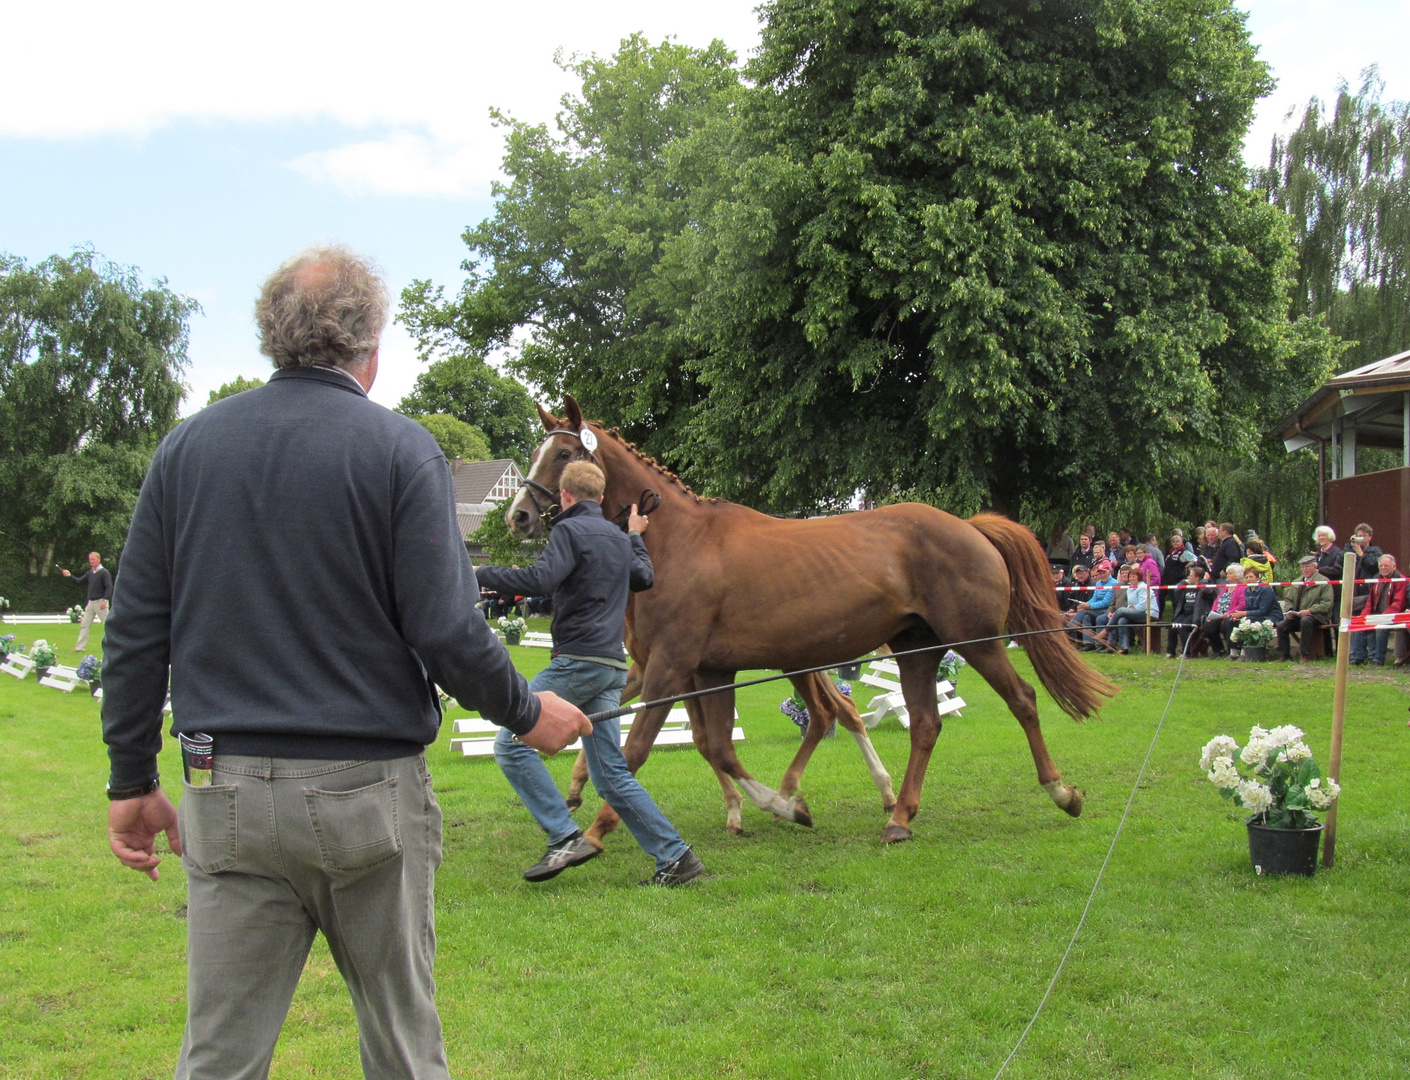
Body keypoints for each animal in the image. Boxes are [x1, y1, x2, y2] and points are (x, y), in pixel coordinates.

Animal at [507, 397, 1111, 845]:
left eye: (565, 453)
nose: (519, 516)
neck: (674, 542)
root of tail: (970, 526)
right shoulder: (705, 672)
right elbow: (714, 745)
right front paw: (781, 807)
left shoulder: (669, 667)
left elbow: (634, 750)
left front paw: (595, 831)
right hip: (914, 649)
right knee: (921, 724)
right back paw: (898, 817)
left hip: (976, 640)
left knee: (1020, 701)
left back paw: (1061, 793)